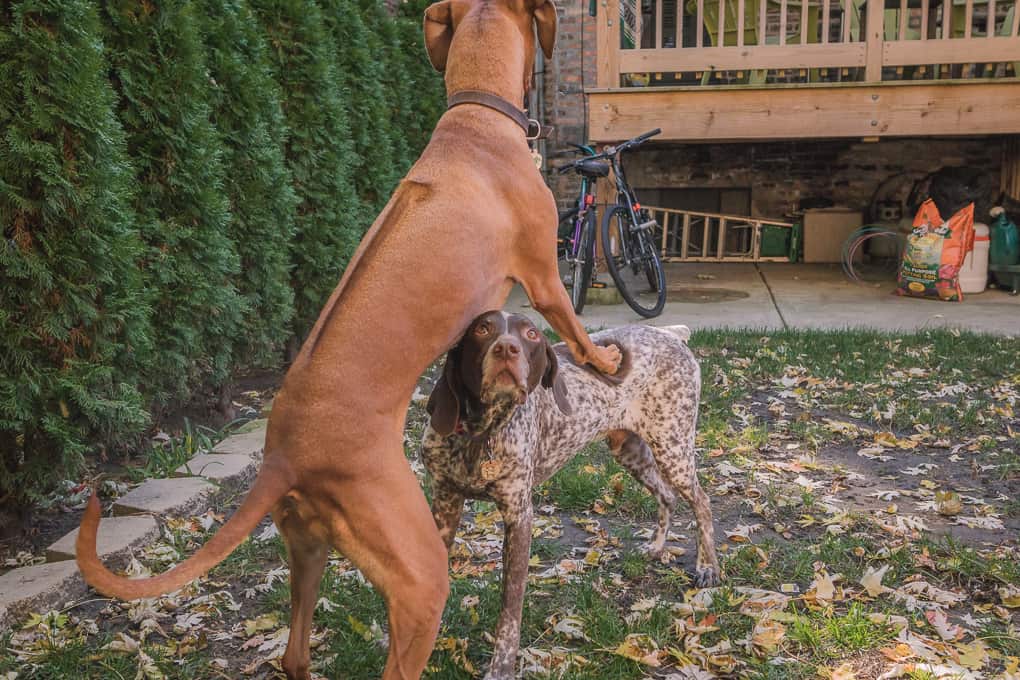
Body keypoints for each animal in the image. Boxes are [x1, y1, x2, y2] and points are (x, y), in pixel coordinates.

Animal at [73, 1, 620, 680]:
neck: (475, 117)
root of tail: (282, 455)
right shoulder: (544, 276)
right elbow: (574, 327)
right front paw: (605, 360)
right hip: (418, 573)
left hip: (309, 549)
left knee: (294, 653)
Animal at [418, 311, 722, 676]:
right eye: (482, 328)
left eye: (531, 333)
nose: (506, 349)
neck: (480, 434)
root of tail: (669, 333)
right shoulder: (444, 506)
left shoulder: (519, 518)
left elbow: (510, 612)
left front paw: (501, 669)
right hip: (631, 451)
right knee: (668, 496)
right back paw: (656, 546)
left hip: (673, 448)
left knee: (702, 503)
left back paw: (708, 567)